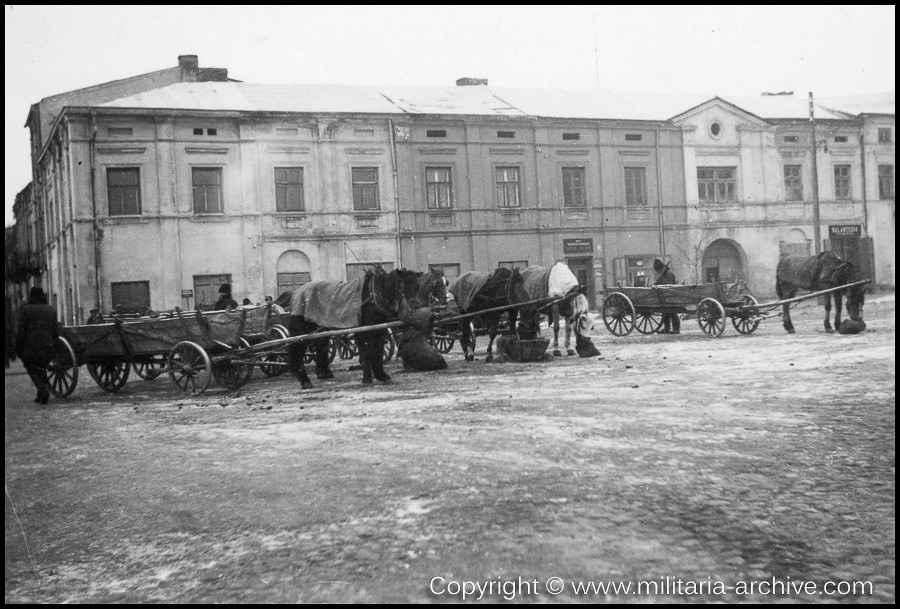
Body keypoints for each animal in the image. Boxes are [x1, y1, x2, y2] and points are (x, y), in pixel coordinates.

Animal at [288, 268, 426, 388]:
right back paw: (305, 380)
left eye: (417, 287)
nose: (417, 307)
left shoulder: (379, 331)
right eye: (402, 286)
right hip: (302, 333)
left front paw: (381, 375)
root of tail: (296, 294)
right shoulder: (361, 332)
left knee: (318, 347)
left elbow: (377, 353)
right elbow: (365, 354)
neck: (373, 295)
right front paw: (367, 378)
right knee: (297, 353)